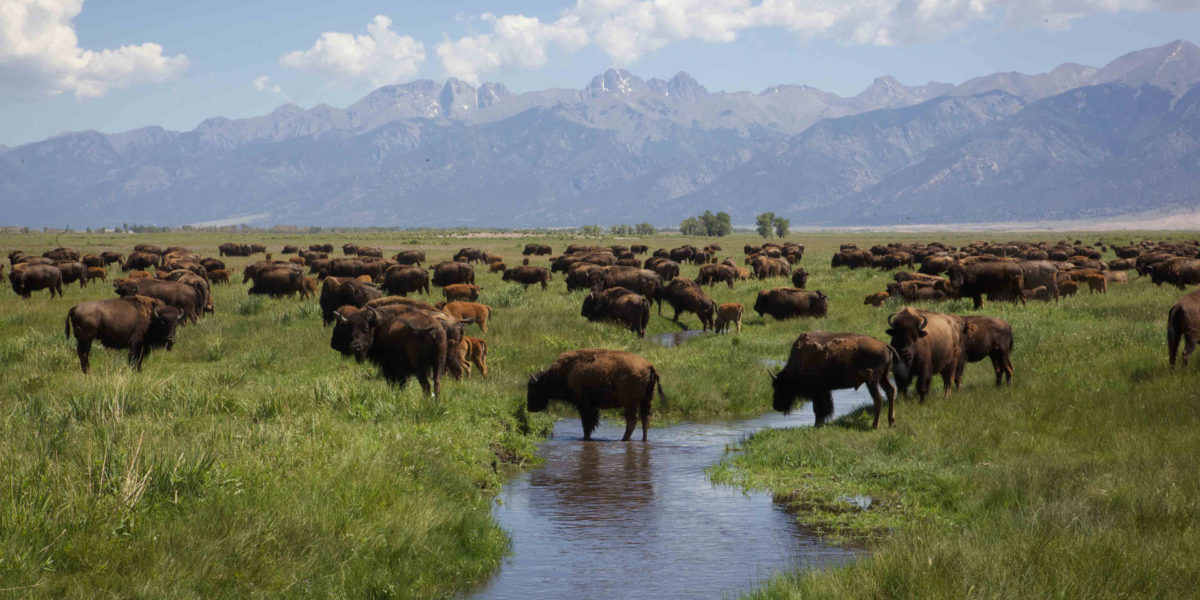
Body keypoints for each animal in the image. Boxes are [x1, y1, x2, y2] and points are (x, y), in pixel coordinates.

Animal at [530, 348, 672, 441]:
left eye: (534, 388)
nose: (530, 408)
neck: (566, 372)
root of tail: (649, 366)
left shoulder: (585, 405)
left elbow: (587, 424)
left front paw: (586, 438)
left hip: (630, 404)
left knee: (632, 421)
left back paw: (623, 439)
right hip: (646, 401)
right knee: (645, 421)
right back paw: (642, 440)